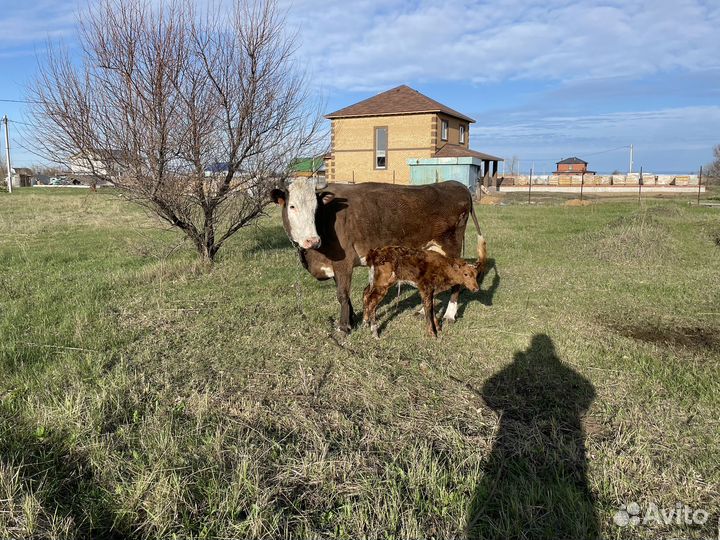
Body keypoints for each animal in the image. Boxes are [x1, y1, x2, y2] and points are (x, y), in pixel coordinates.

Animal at [270, 177, 487, 334]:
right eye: (292, 206)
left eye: (316, 209)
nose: (312, 240)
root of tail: (455, 184)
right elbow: (345, 295)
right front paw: (352, 319)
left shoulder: (343, 261)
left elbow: (342, 294)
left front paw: (343, 327)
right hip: (433, 249)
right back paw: (423, 311)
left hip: (452, 245)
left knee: (457, 280)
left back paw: (450, 314)